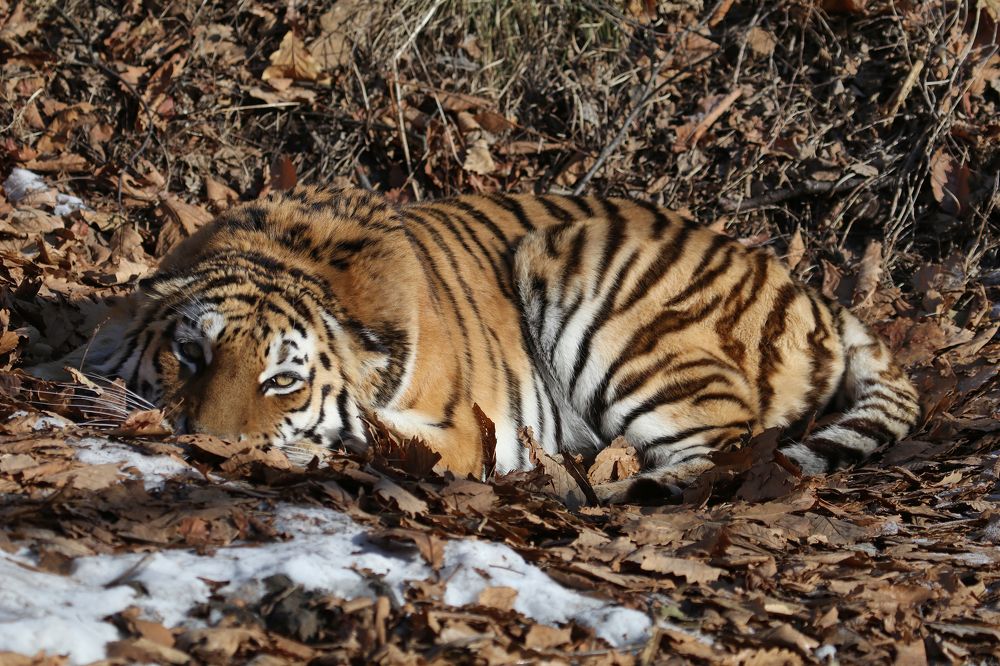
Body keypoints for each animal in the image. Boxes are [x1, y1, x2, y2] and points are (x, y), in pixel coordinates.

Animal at [70, 186, 919, 502]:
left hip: (589, 281)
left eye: (282, 381)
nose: (203, 444)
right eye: (191, 353)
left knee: (723, 448)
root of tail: (807, 289)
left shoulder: (454, 430)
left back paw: (599, 485)